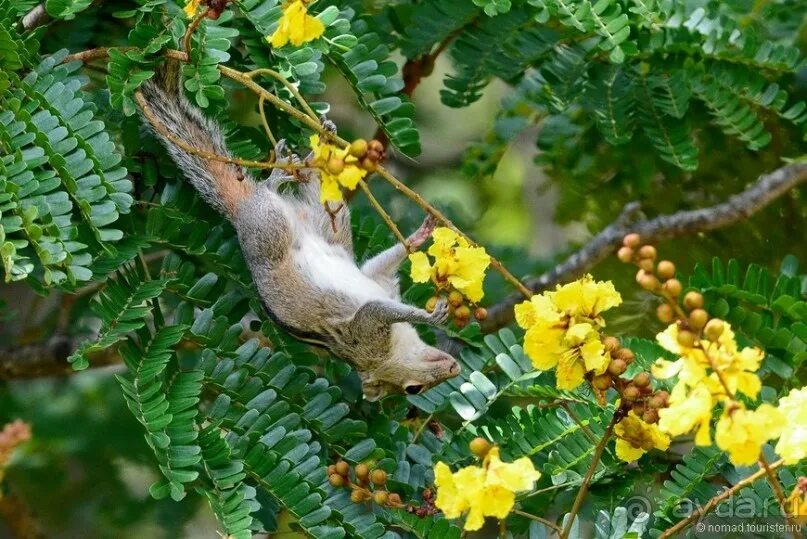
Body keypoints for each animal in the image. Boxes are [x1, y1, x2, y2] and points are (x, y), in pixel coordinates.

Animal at [139, 64, 460, 400]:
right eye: (413, 389)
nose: (455, 368)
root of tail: (242, 210)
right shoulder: (367, 334)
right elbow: (374, 309)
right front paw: (429, 316)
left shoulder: (381, 282)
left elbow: (377, 267)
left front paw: (419, 236)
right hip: (270, 230)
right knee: (267, 198)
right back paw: (276, 177)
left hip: (327, 220)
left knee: (323, 190)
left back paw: (323, 143)